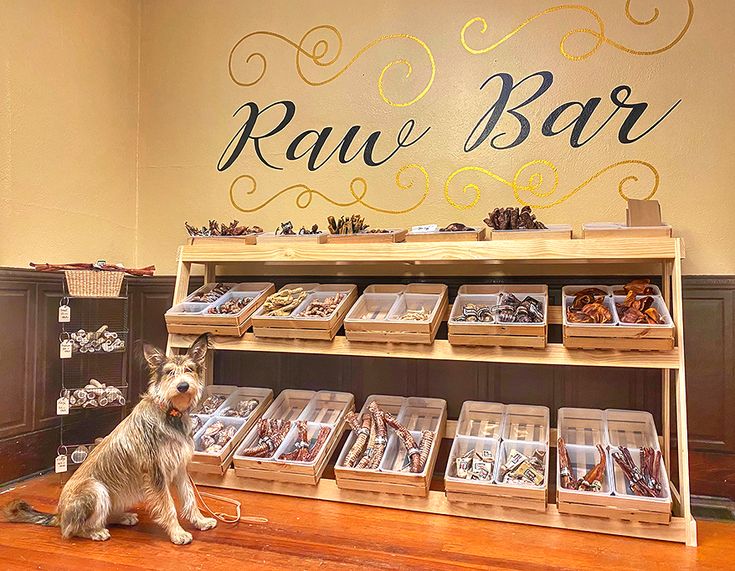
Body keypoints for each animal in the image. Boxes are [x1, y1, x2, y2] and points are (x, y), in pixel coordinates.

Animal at [0, 336, 218, 544]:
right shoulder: (155, 473)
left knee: (102, 517)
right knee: (72, 530)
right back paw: (95, 532)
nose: (183, 386)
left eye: (189, 369)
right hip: (96, 488)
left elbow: (190, 498)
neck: (170, 412)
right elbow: (168, 505)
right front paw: (177, 534)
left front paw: (200, 521)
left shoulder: (180, 468)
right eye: (169, 372)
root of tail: (59, 516)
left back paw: (122, 517)